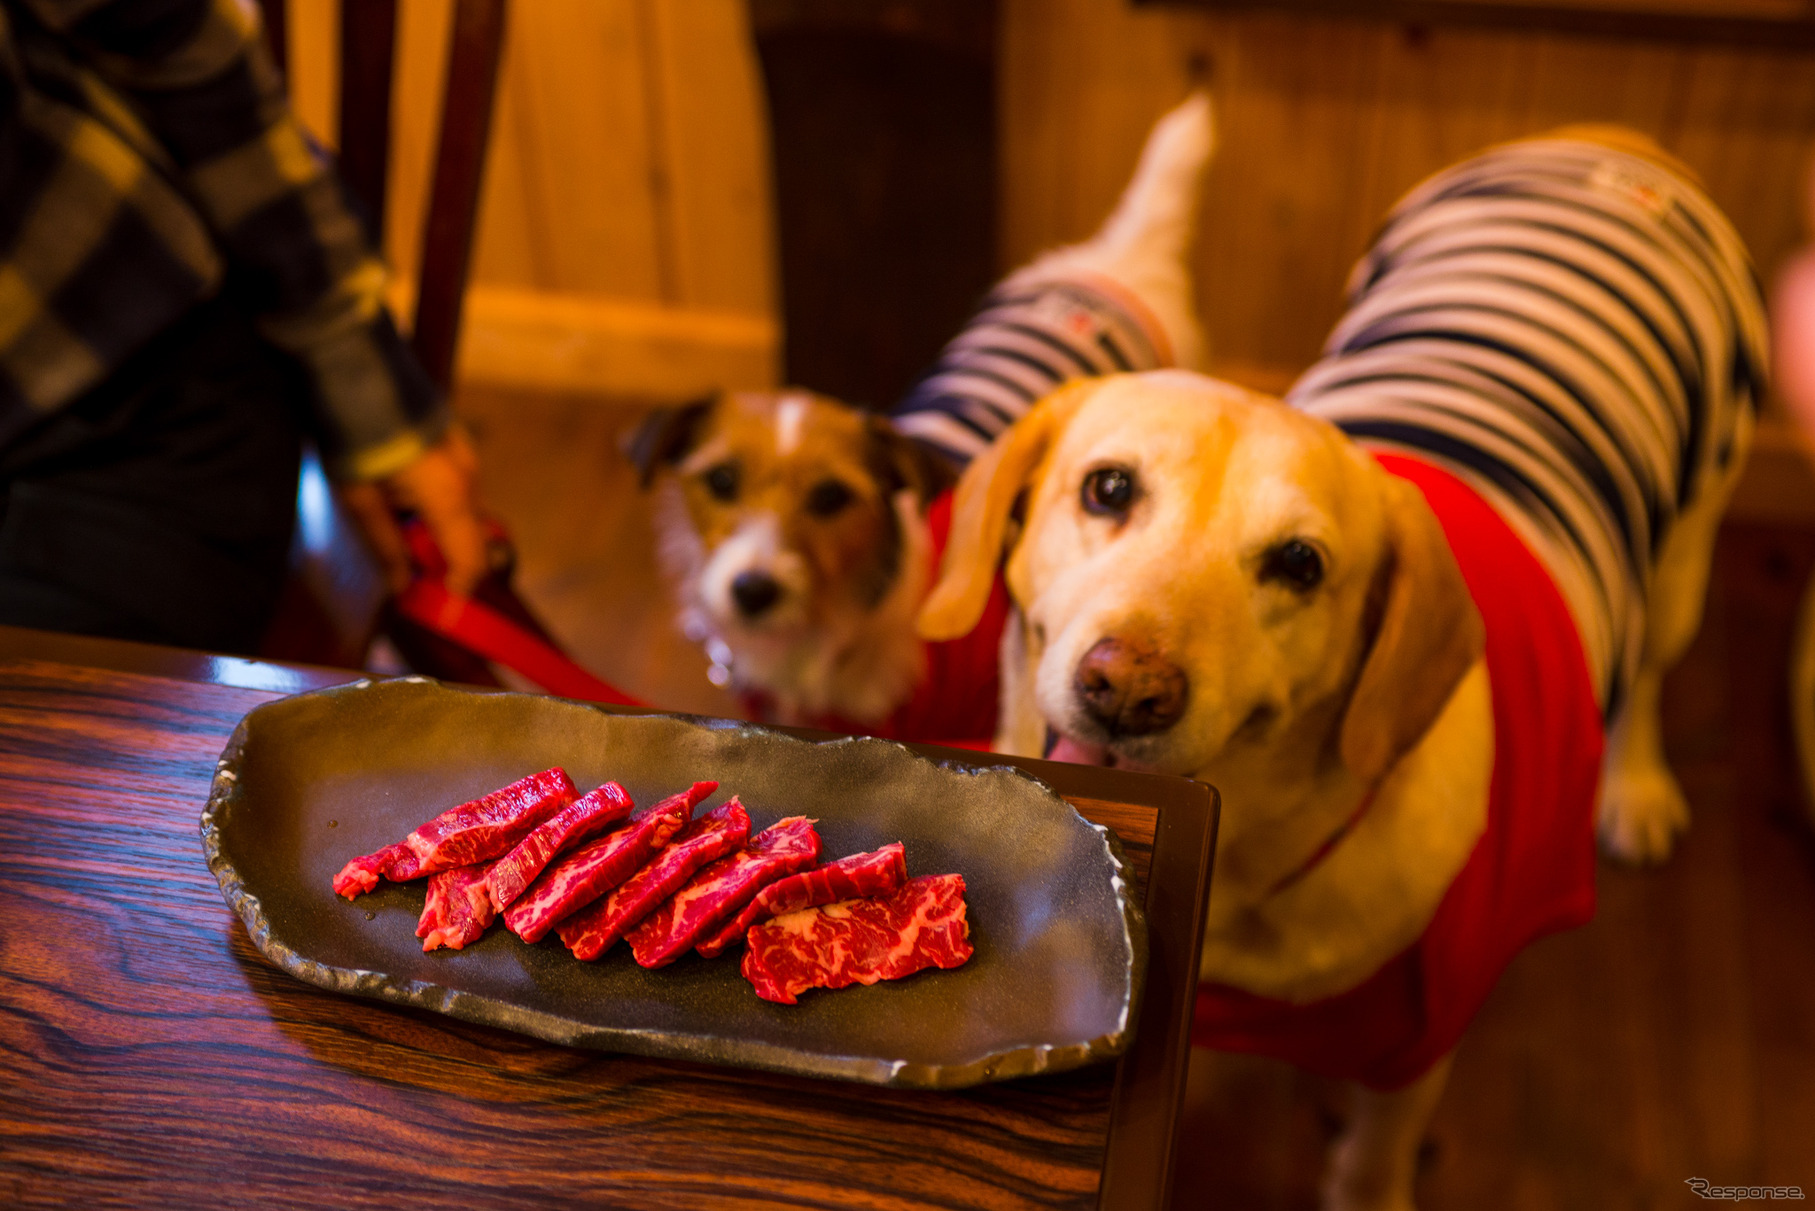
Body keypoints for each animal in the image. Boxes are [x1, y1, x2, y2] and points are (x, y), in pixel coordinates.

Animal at [914, 127, 1764, 1205]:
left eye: (1299, 563)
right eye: (1106, 488)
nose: (1128, 688)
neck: (1242, 868)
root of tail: (1606, 140)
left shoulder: (1413, 1048)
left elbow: (1369, 1161)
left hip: (1692, 536)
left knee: (1650, 671)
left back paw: (1638, 786)